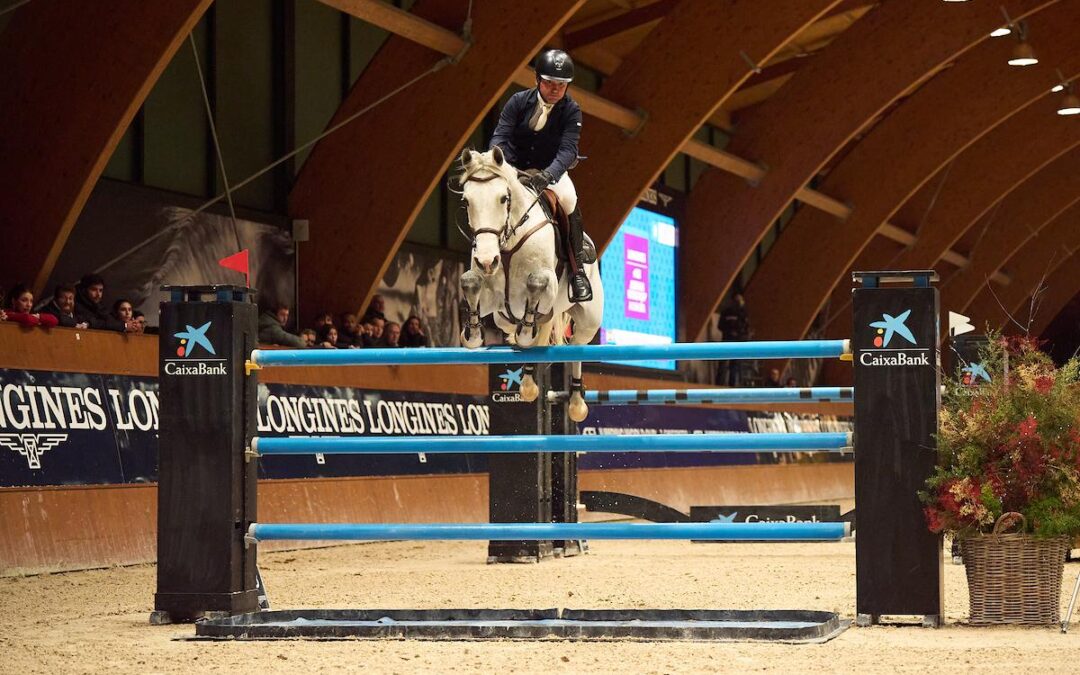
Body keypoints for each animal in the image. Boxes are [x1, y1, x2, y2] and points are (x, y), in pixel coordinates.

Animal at [457, 146, 609, 421]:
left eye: (503, 199)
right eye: (467, 201)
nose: (487, 261)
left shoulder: (546, 290)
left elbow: (536, 282)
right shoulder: (495, 301)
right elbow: (469, 280)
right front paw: (472, 333)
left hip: (588, 322)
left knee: (576, 349)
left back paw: (576, 403)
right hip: (502, 319)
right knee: (522, 337)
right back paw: (527, 380)